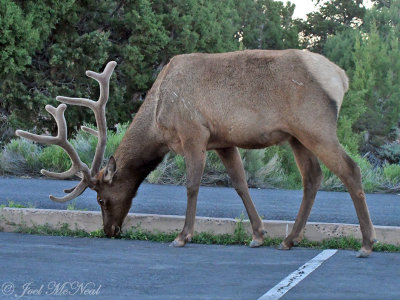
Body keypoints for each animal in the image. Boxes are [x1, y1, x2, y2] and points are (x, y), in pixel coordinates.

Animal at [16, 49, 378, 258]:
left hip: (314, 126)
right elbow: (240, 184)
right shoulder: (223, 140)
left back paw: (366, 243)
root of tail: (341, 78)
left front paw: (182, 236)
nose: (110, 231)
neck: (158, 118)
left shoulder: (194, 133)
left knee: (350, 169)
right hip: (296, 136)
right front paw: (258, 235)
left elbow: (192, 186)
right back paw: (289, 239)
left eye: (102, 199)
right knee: (312, 177)